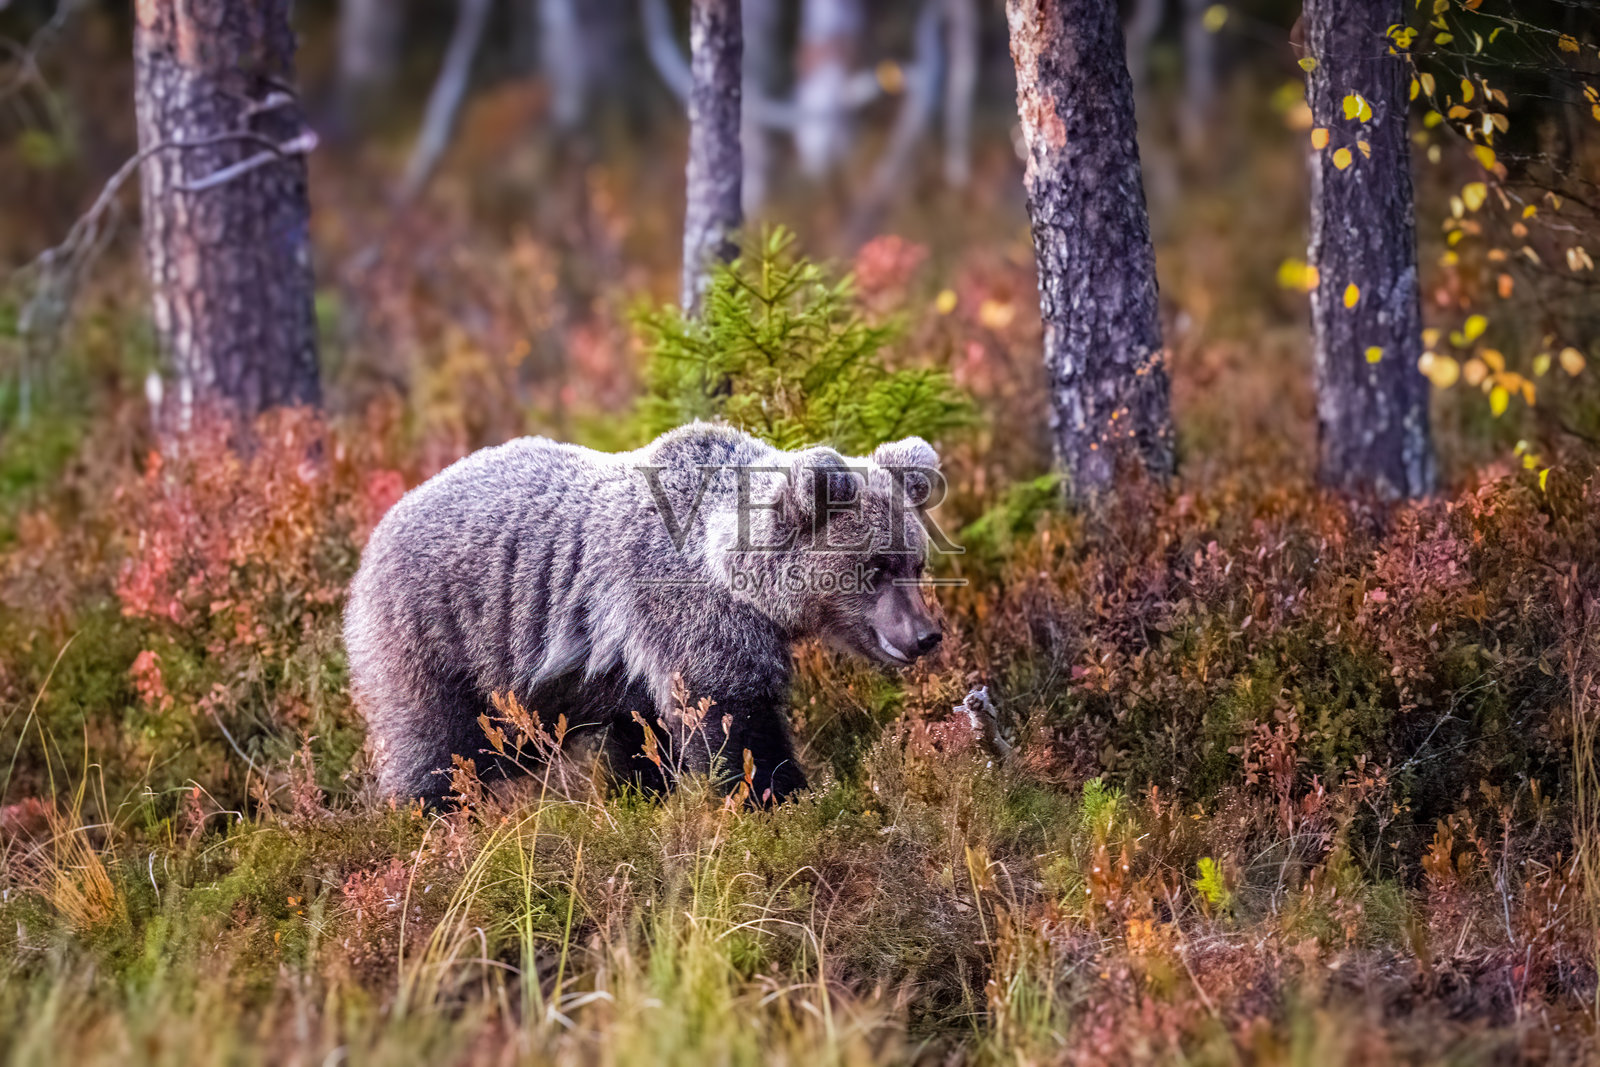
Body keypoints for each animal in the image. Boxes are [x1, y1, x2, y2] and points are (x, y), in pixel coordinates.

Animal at [343, 421, 945, 804]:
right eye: (875, 566)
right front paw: (782, 797)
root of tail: (378, 531)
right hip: (436, 636)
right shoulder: (688, 613)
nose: (925, 635)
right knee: (437, 745)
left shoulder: (629, 672)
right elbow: (731, 718)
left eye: (915, 562)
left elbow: (645, 741)